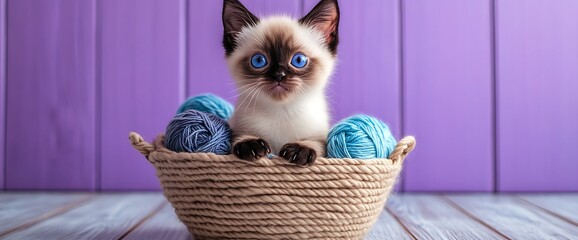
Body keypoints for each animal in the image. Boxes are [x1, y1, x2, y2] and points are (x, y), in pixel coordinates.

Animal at [220, 0, 338, 165]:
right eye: (259, 60)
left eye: (298, 60)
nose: (278, 75)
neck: (281, 111)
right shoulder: (237, 128)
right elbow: (236, 139)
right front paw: (250, 144)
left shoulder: (321, 139)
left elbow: (316, 143)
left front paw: (300, 150)